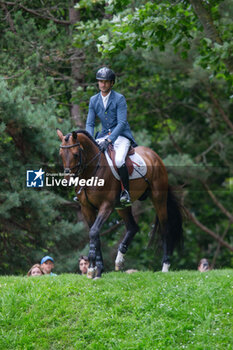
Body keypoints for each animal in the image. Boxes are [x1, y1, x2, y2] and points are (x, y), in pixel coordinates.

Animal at [57, 129, 184, 278]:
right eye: (61, 154)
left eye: (76, 154)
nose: (67, 181)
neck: (91, 172)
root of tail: (154, 155)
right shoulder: (86, 208)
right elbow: (95, 234)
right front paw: (98, 269)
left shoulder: (106, 206)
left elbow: (94, 232)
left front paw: (92, 269)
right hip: (122, 206)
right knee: (133, 227)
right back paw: (119, 260)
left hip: (159, 199)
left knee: (165, 229)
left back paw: (165, 266)